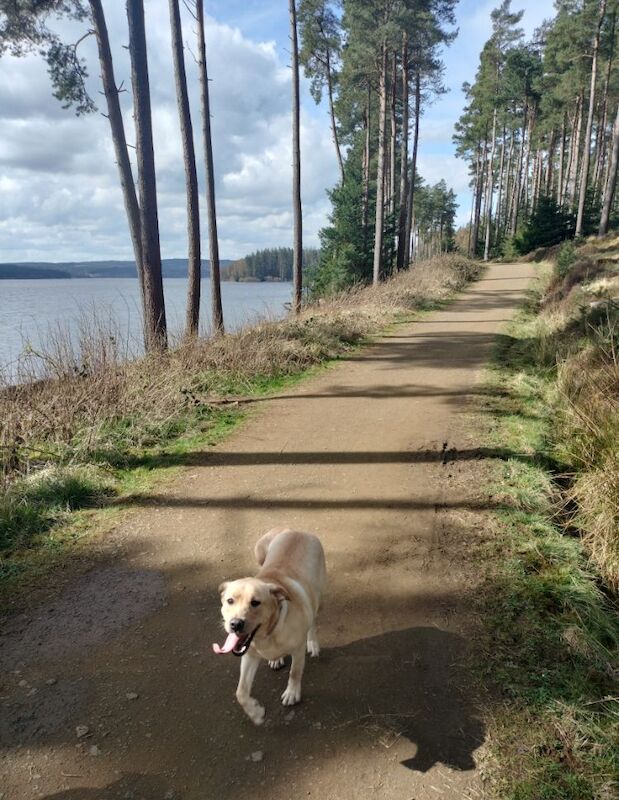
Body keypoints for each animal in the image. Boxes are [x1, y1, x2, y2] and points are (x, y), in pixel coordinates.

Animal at [213, 524, 326, 724]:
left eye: (255, 602)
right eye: (230, 601)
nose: (235, 624)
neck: (267, 636)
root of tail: (294, 529)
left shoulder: (297, 649)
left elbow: (295, 672)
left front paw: (292, 693)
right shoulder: (249, 656)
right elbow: (241, 692)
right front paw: (256, 713)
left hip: (317, 595)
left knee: (313, 621)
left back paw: (312, 643)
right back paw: (275, 660)